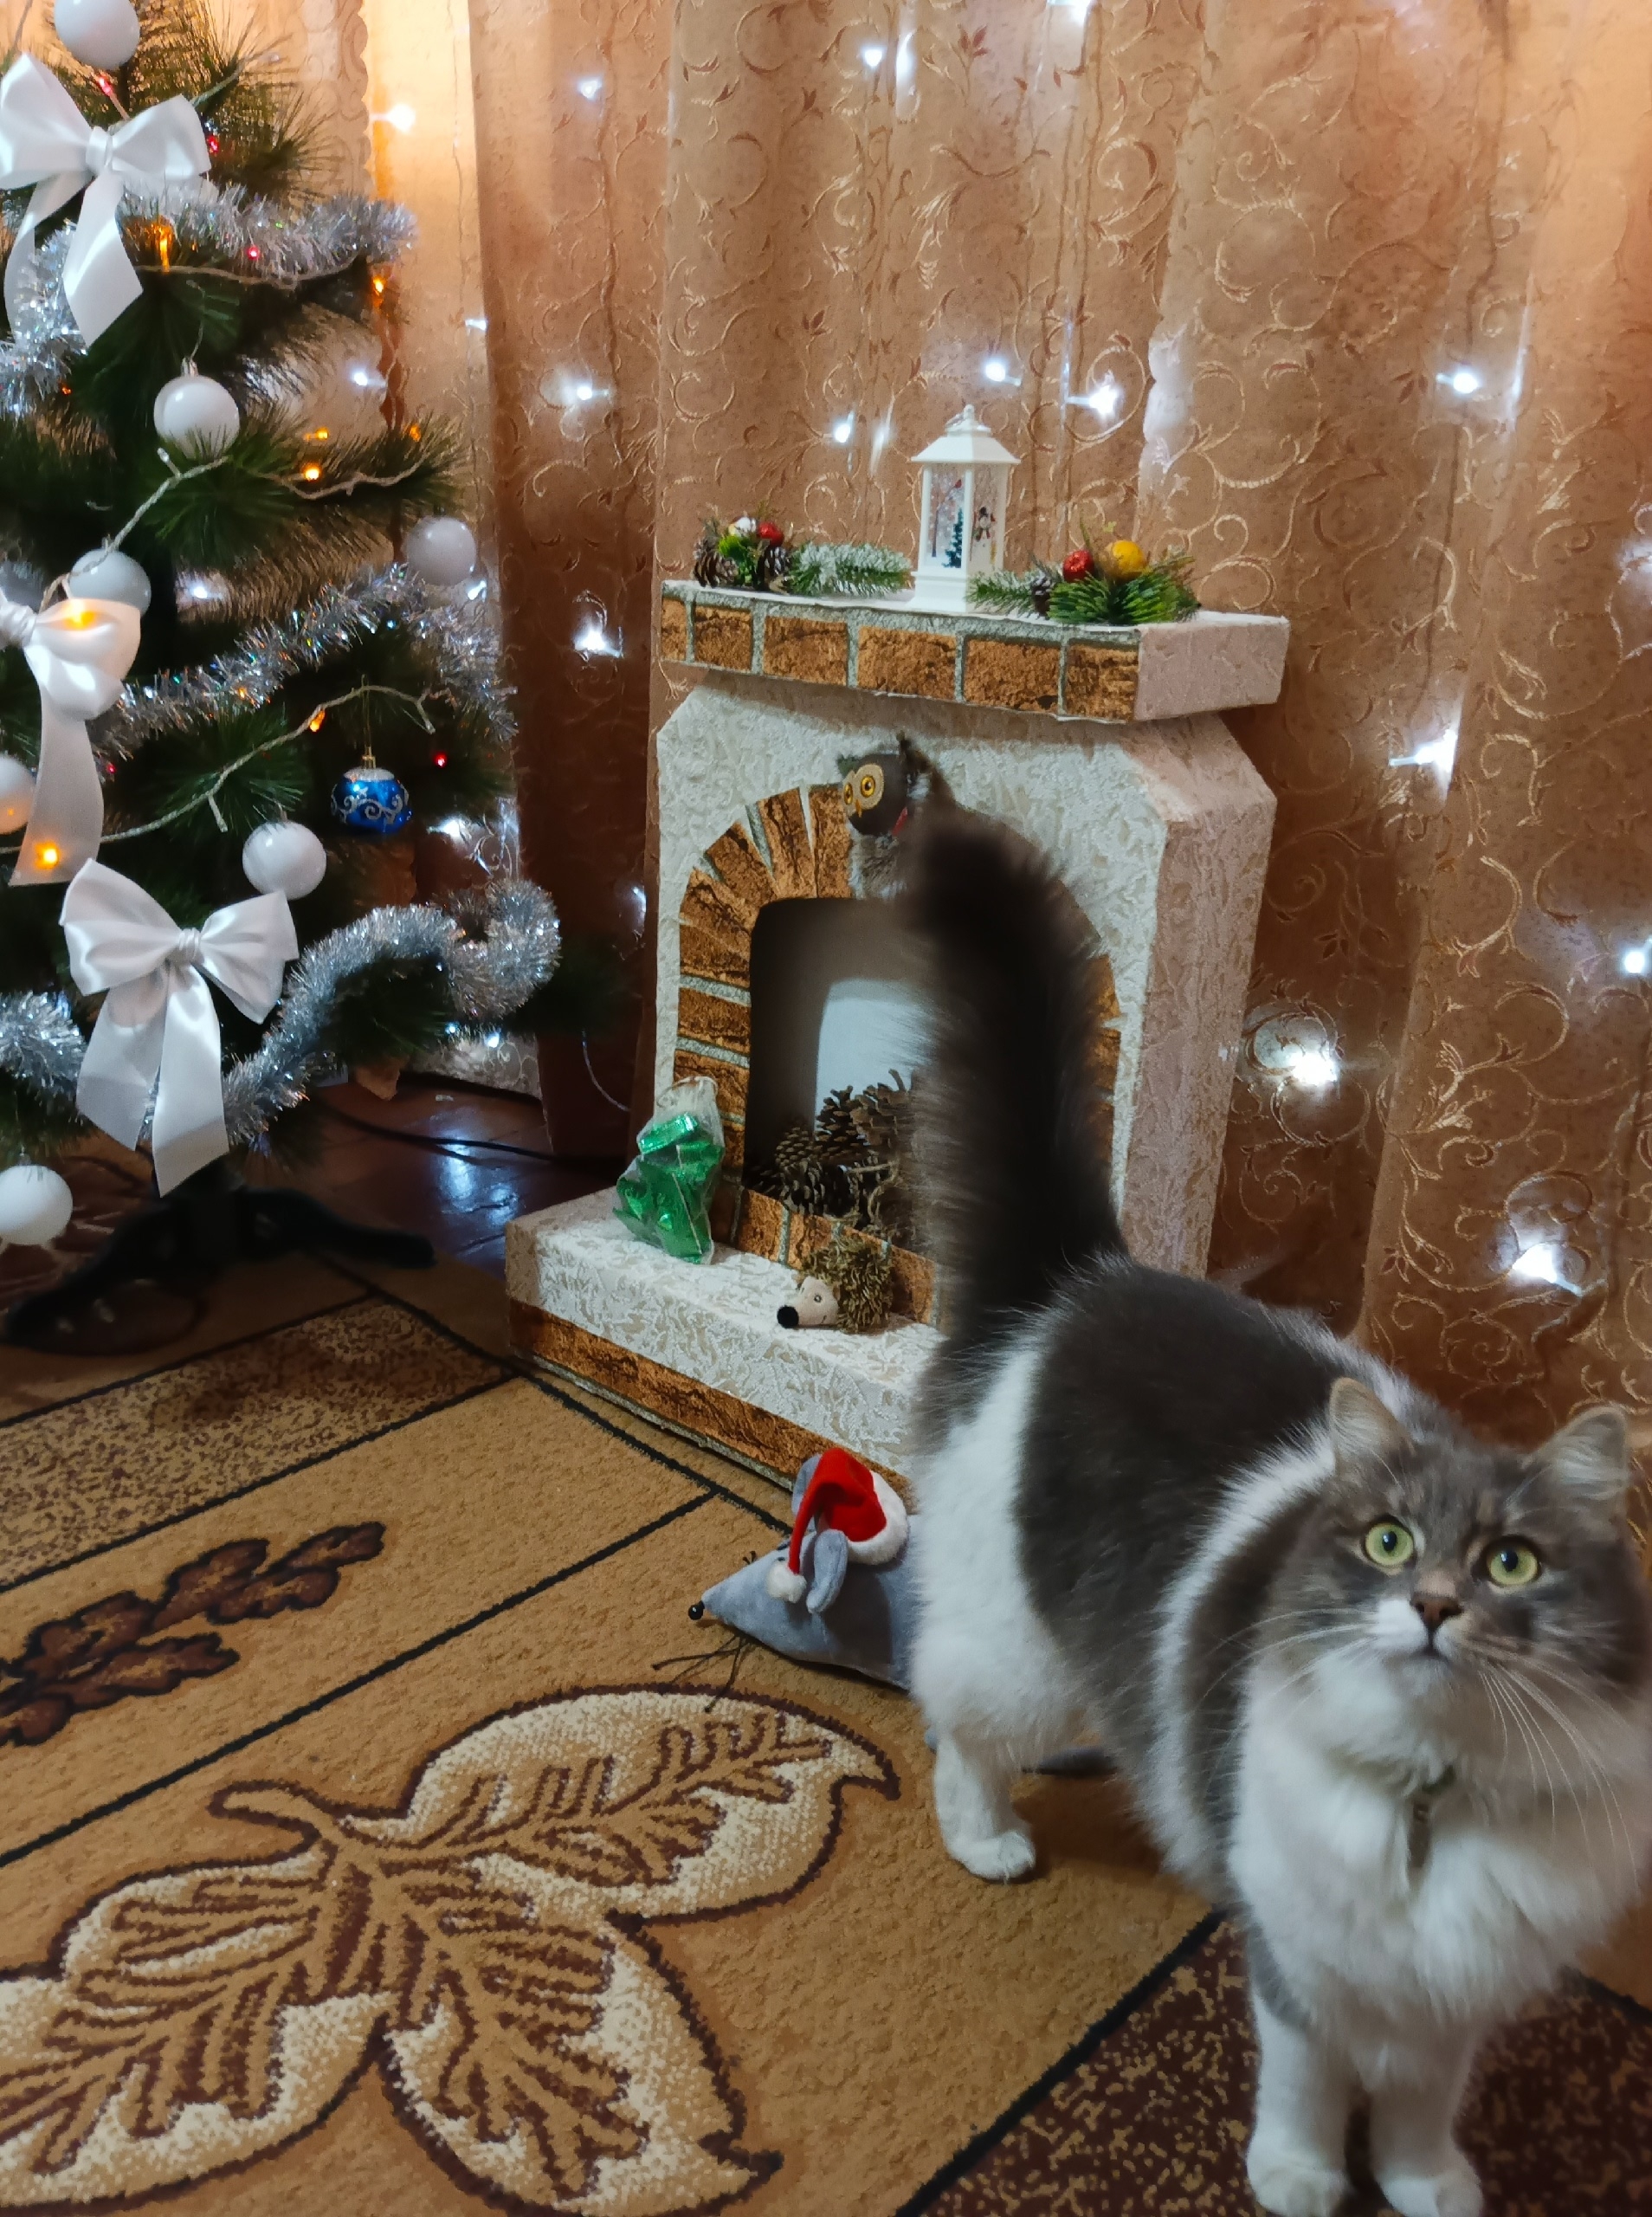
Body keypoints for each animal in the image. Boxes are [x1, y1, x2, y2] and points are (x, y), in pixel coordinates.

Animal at [904, 813, 1652, 2217]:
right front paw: (1301, 2178)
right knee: (955, 1724)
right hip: (1018, 1648)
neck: (1432, 1801)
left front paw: (1423, 2184)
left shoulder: (1452, 1994)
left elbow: (1418, 2105)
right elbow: (1308, 2084)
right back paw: (987, 1839)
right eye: (1388, 1544)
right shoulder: (1303, 1959)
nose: (1432, 1610)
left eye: (1513, 1564)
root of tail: (1083, 1279)